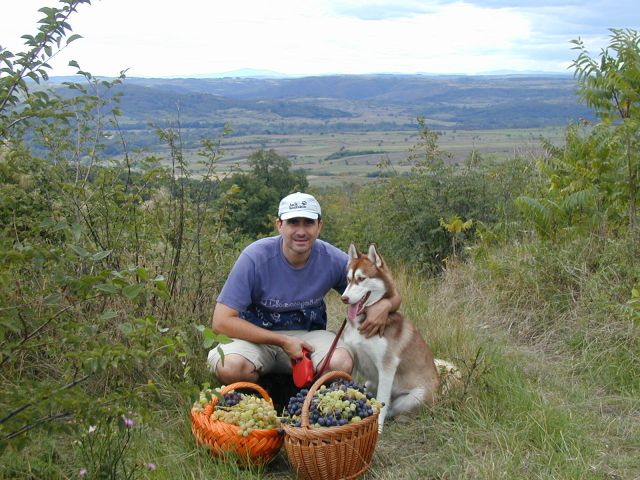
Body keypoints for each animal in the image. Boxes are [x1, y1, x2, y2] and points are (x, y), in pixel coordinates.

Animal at [340, 244, 440, 432]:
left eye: (361, 279)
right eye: (348, 279)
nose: (344, 298)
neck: (360, 323)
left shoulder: (387, 367)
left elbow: (381, 402)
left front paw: (377, 429)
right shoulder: (354, 362)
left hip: (414, 397)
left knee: (392, 408)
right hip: (371, 382)